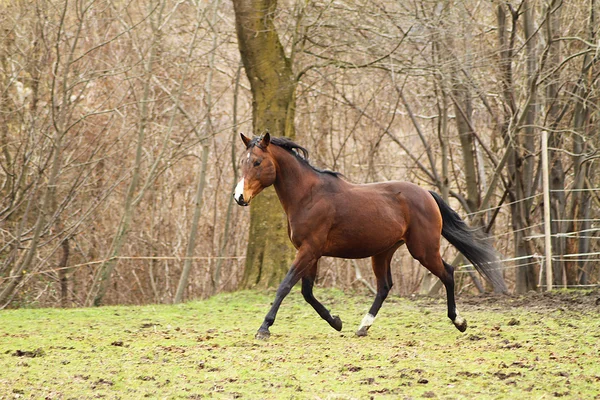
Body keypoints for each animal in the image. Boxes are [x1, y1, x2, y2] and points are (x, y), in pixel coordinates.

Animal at [232, 133, 504, 340]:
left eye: (257, 162)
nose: (239, 197)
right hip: (383, 252)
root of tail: (427, 194)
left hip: (423, 250)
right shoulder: (311, 252)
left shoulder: (309, 250)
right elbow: (307, 293)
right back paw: (363, 326)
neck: (308, 196)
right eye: (243, 162)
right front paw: (336, 321)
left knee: (447, 272)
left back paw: (459, 322)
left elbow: (285, 286)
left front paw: (264, 328)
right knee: (384, 287)